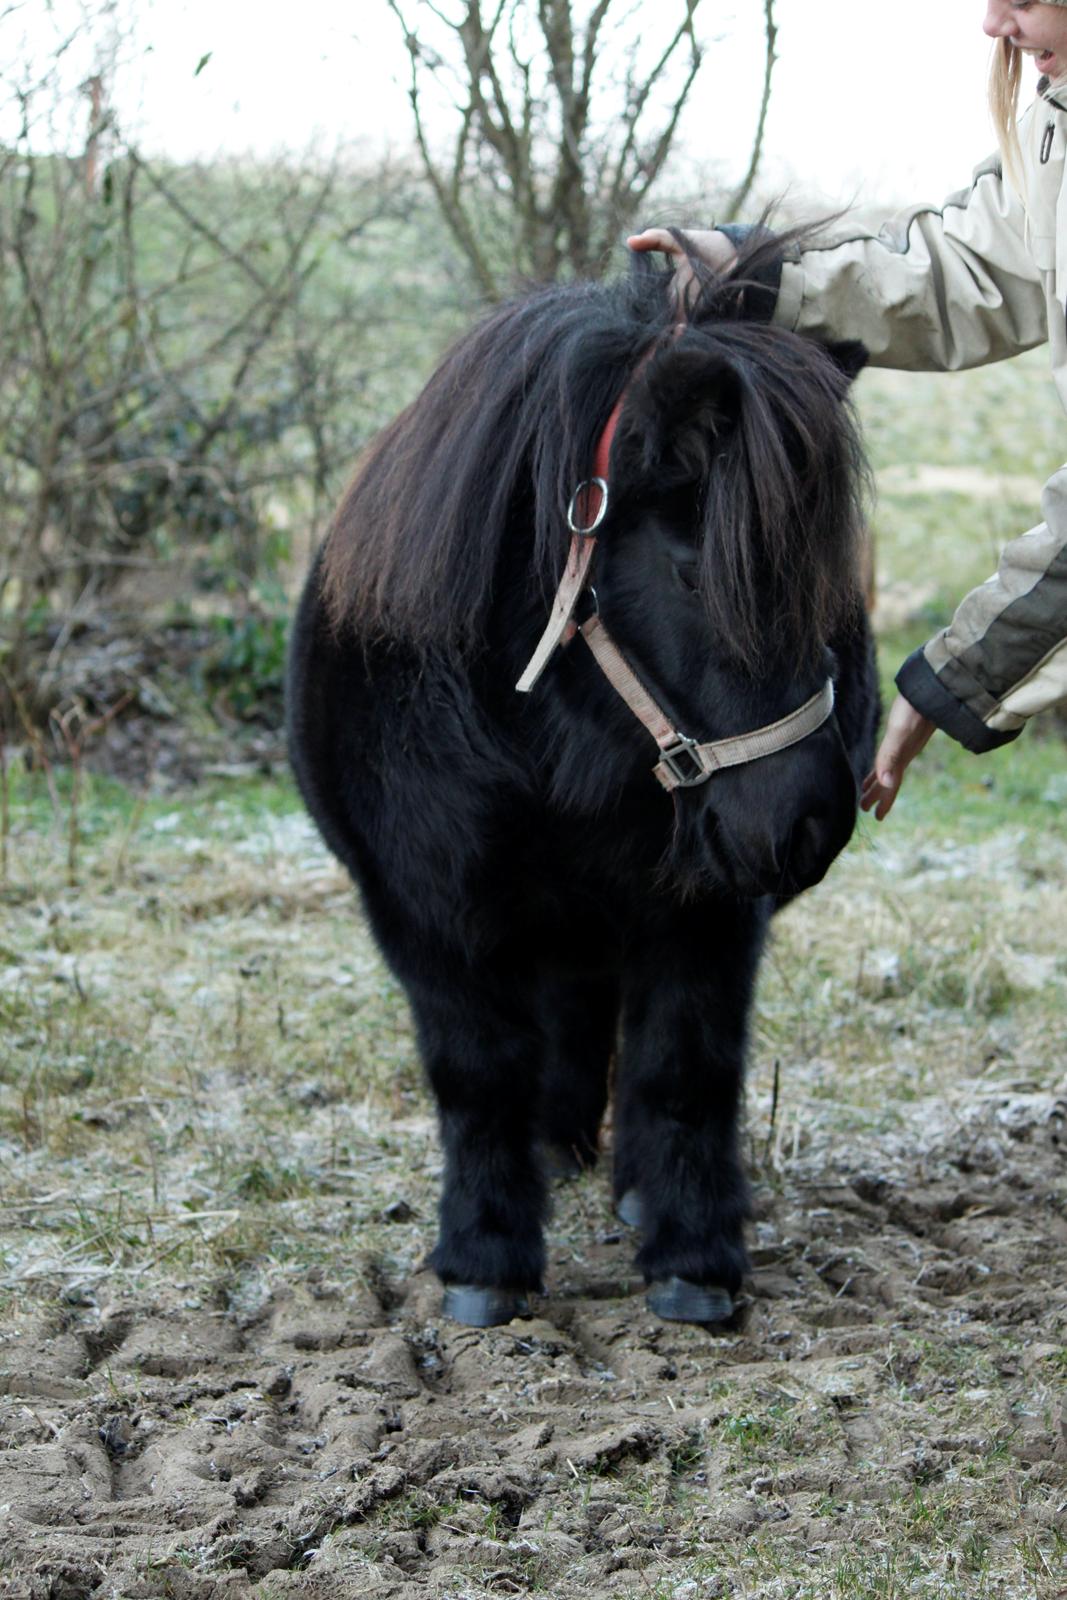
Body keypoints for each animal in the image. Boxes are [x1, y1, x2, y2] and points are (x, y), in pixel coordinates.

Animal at [287, 233, 883, 1324]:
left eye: (824, 582)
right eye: (694, 571)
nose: (807, 824)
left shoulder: (703, 907)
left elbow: (683, 1067)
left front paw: (690, 1255)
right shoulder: (424, 908)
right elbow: (477, 1074)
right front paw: (483, 1258)